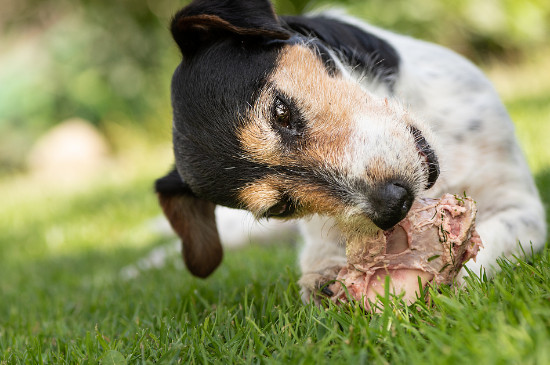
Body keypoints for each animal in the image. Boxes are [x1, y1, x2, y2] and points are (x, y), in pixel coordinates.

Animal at [154, 0, 548, 302]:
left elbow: (485, 247)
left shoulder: (521, 207)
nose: (394, 205)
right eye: (282, 207)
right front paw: (323, 280)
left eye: (280, 111)